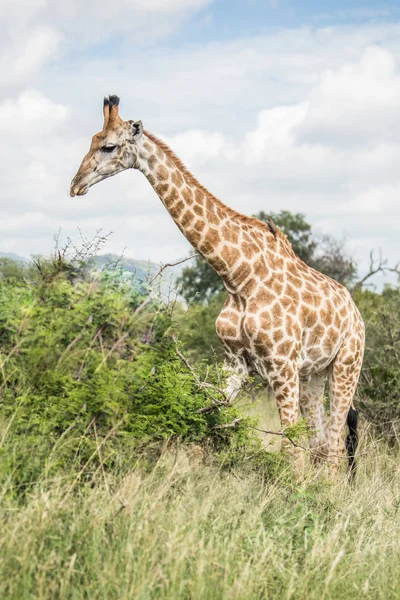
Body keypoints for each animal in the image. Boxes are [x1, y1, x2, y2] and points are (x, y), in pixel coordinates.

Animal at [70, 96, 364, 476]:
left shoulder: (282, 365)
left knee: (332, 446)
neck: (238, 277)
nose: (75, 184)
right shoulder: (236, 363)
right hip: (314, 373)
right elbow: (204, 419)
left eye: (108, 146)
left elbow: (289, 451)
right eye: (92, 141)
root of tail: (356, 312)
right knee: (320, 443)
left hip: (346, 364)